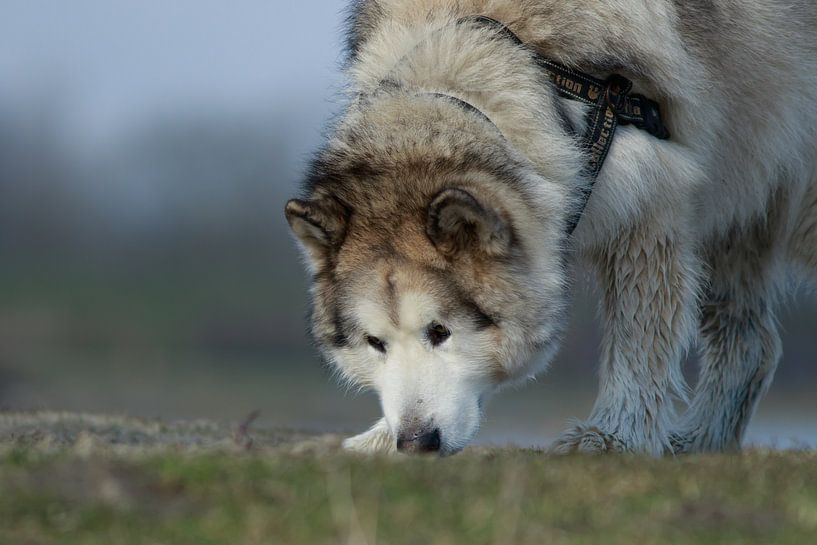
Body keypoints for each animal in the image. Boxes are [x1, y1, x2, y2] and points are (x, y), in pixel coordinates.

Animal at [284, 0, 812, 454]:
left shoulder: (649, 206)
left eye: (440, 331)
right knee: (753, 343)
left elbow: (638, 340)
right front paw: (377, 440)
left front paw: (612, 438)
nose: (416, 443)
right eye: (376, 343)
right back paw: (698, 445)